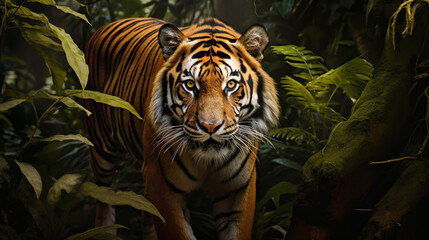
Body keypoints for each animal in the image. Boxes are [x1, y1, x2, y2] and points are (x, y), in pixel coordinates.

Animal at [84, 17, 280, 240]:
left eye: (231, 85)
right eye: (190, 85)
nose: (210, 127)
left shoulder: (237, 188)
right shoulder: (161, 183)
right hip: (103, 151)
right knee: (103, 200)